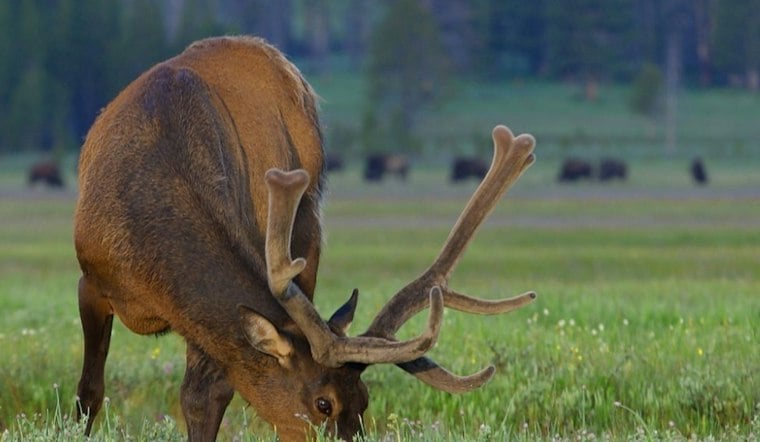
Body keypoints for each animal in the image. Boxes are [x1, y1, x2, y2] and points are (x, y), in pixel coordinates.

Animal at [73, 35, 537, 442]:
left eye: (365, 401)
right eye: (323, 403)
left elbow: (204, 397)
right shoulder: (90, 280)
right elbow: (90, 392)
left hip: (307, 232)